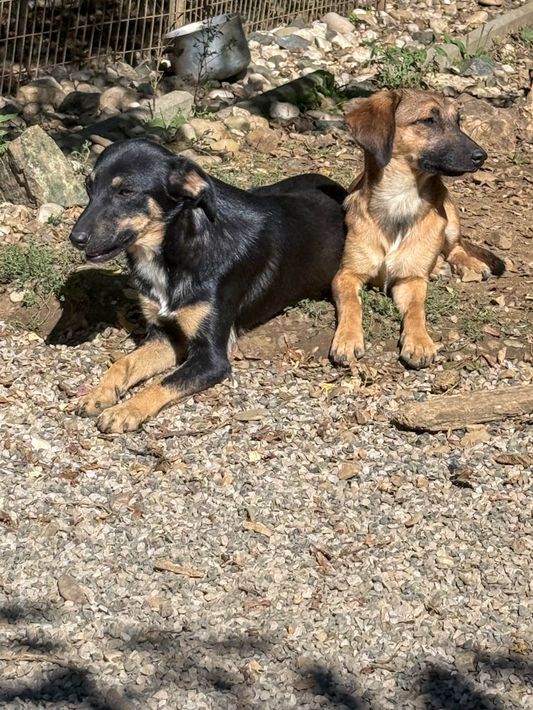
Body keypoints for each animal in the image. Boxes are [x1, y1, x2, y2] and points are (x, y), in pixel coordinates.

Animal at [70, 138, 347, 432]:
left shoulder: (211, 358)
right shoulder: (166, 336)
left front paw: (126, 410)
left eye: (126, 191)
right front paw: (99, 394)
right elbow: (123, 363)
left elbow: (164, 382)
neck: (177, 249)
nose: (76, 238)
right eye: (88, 186)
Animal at [330, 89, 504, 370]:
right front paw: (347, 338)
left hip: (449, 216)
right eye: (428, 120)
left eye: (458, 121)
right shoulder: (347, 274)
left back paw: (467, 264)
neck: (400, 200)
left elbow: (416, 311)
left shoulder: (410, 281)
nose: (482, 156)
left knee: (455, 247)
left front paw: (419, 341)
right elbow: (351, 304)